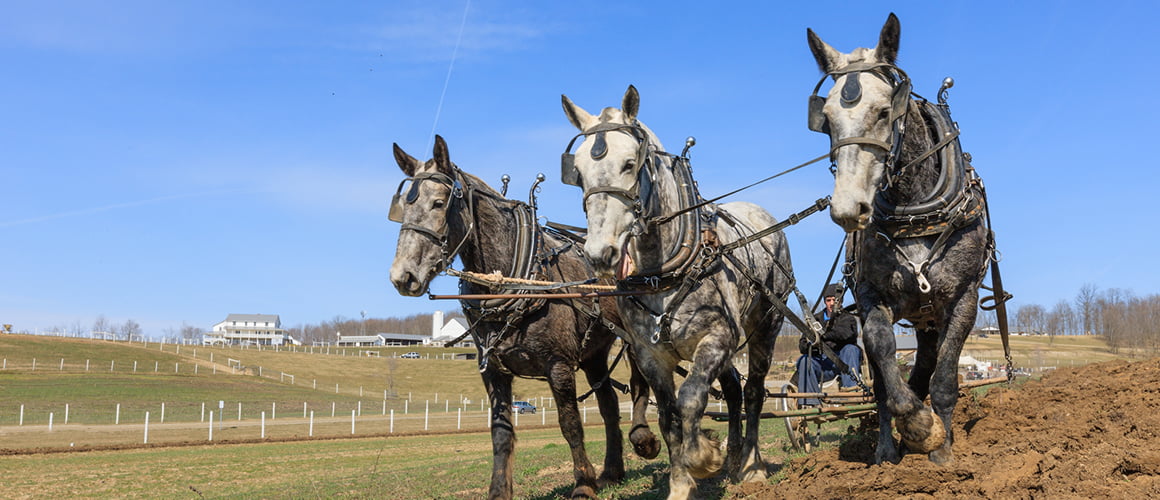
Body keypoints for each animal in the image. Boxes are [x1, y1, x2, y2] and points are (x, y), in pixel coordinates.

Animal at [388, 135, 660, 499]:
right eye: (403, 207)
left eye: (439, 202)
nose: (402, 276)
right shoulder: (493, 371)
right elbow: (501, 433)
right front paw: (498, 491)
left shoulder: (558, 365)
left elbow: (570, 424)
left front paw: (582, 484)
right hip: (594, 353)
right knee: (608, 405)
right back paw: (612, 471)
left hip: (633, 337)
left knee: (642, 383)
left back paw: (644, 439)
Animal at [561, 86, 794, 499]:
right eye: (579, 173)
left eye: (630, 164)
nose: (600, 253)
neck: (661, 272)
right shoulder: (650, 356)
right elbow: (669, 417)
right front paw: (682, 483)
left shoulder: (716, 338)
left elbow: (690, 400)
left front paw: (703, 457)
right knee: (733, 391)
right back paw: (734, 457)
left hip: (766, 325)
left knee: (753, 392)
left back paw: (751, 466)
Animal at [805, 13, 993, 465]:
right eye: (827, 120)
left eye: (885, 111)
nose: (847, 209)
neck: (915, 209)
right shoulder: (871, 297)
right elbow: (883, 360)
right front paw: (917, 427)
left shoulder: (963, 298)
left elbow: (945, 377)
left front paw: (942, 448)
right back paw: (890, 447)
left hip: (931, 316)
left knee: (928, 364)